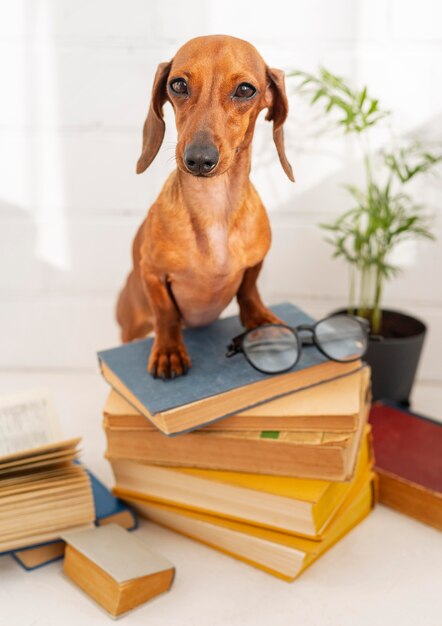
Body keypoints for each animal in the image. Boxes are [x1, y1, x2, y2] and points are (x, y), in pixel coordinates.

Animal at [116, 35, 294, 376]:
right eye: (178, 84)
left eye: (245, 90)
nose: (199, 159)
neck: (214, 208)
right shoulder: (151, 273)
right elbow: (165, 313)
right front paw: (169, 350)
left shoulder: (255, 262)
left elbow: (249, 290)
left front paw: (260, 318)